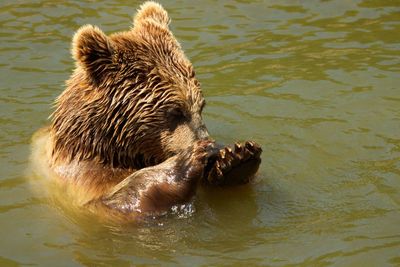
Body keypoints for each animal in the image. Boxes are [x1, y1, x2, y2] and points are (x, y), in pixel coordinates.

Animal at [31, 1, 262, 221]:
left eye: (200, 106)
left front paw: (237, 157)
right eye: (176, 111)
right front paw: (189, 159)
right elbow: (115, 201)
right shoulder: (78, 180)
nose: (211, 148)